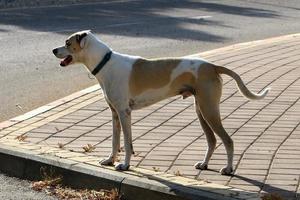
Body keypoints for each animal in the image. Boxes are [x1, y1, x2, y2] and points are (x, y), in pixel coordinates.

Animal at [52, 30, 270, 175]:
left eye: (67, 42)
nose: (53, 50)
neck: (106, 63)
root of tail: (212, 66)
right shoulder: (114, 113)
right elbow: (115, 141)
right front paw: (109, 160)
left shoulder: (124, 112)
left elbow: (127, 142)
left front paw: (124, 165)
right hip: (201, 110)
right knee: (212, 140)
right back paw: (204, 164)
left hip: (209, 110)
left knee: (228, 140)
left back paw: (229, 168)